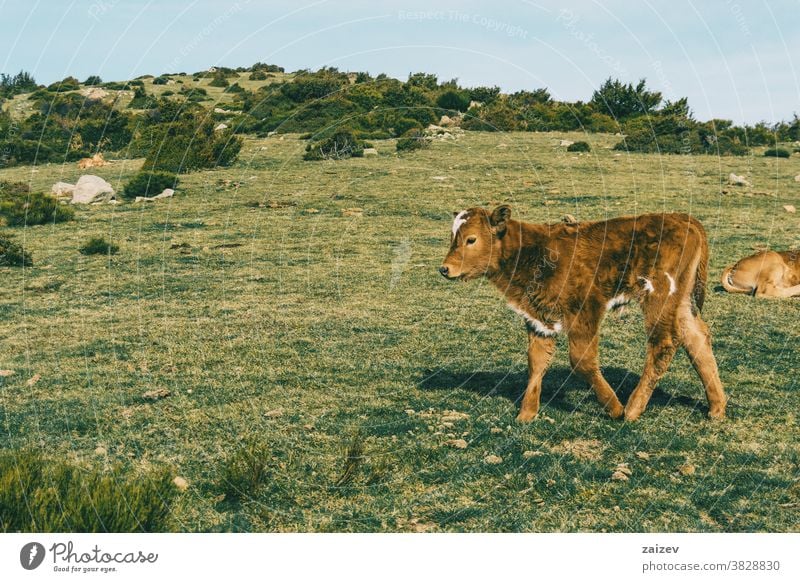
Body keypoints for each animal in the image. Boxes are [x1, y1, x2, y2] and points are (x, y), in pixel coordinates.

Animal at [440, 208, 728, 422]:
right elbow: (536, 361)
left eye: (471, 239)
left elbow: (581, 360)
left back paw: (632, 409)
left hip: (659, 298)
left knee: (664, 343)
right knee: (696, 338)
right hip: (680, 302)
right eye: (453, 237)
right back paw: (716, 407)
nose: (444, 269)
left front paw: (614, 408)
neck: (534, 252)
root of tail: (682, 218)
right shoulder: (538, 318)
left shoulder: (585, 310)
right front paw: (527, 413)